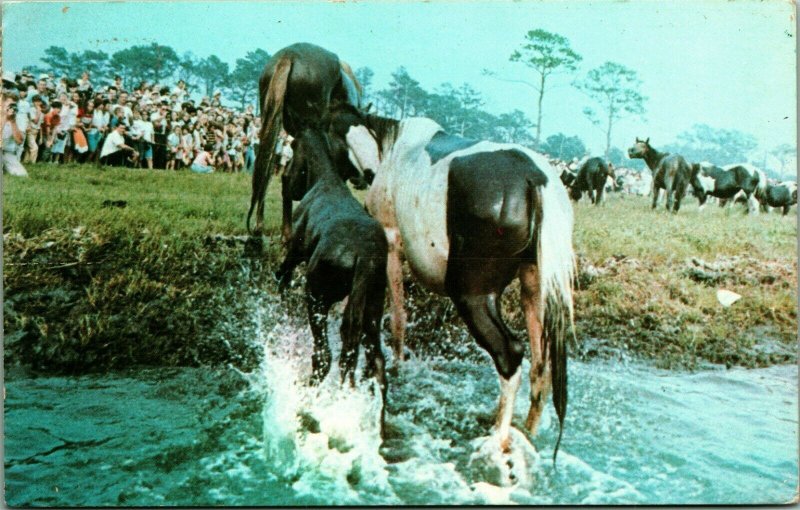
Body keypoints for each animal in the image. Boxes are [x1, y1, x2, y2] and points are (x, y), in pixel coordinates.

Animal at [274, 128, 390, 430]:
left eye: (292, 153)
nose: (283, 177)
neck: (324, 178)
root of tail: (365, 256)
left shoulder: (295, 254)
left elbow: (283, 273)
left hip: (318, 296)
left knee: (324, 356)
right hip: (372, 307)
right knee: (376, 364)